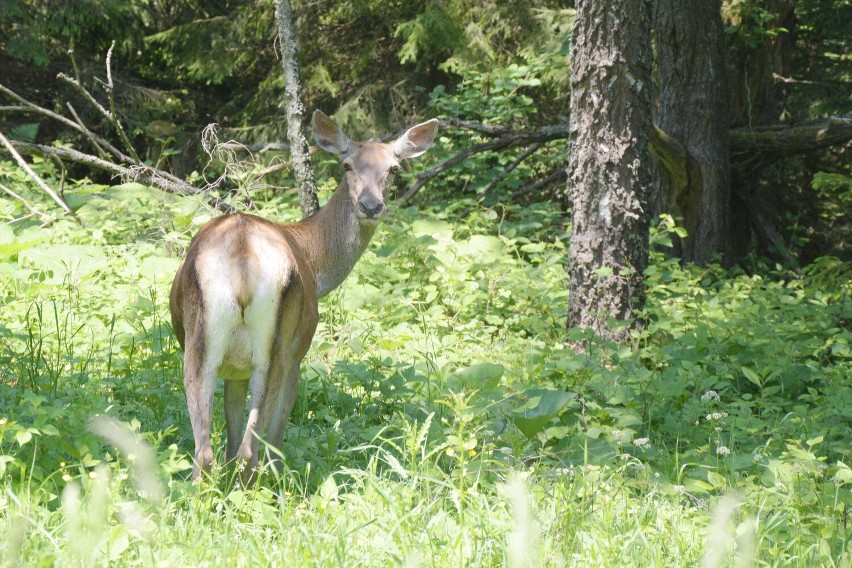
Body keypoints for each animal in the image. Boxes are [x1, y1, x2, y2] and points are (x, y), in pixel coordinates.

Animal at [171, 111, 442, 484]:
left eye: (394, 168)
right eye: (346, 165)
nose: (371, 205)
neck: (315, 263)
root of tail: (242, 248)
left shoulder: (235, 370)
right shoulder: (300, 349)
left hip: (206, 345)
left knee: (208, 451)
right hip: (279, 347)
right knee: (250, 448)